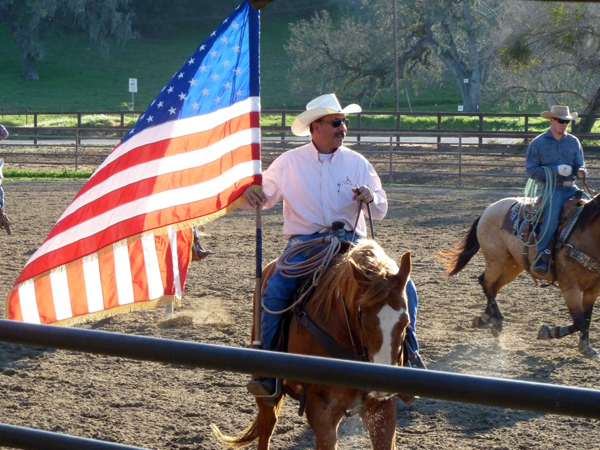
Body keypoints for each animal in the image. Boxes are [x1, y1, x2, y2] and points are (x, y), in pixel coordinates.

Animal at [211, 241, 412, 448]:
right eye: (363, 320)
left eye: (406, 321)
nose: (385, 385)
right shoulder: (321, 409)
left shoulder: (380, 407)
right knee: (267, 425)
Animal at [440, 194, 600, 358]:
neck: (585, 235)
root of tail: (488, 209)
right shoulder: (569, 287)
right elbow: (579, 321)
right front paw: (548, 332)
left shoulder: (593, 290)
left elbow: (587, 319)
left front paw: (585, 347)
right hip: (495, 260)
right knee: (484, 282)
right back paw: (496, 321)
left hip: (512, 267)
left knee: (493, 287)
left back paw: (485, 318)